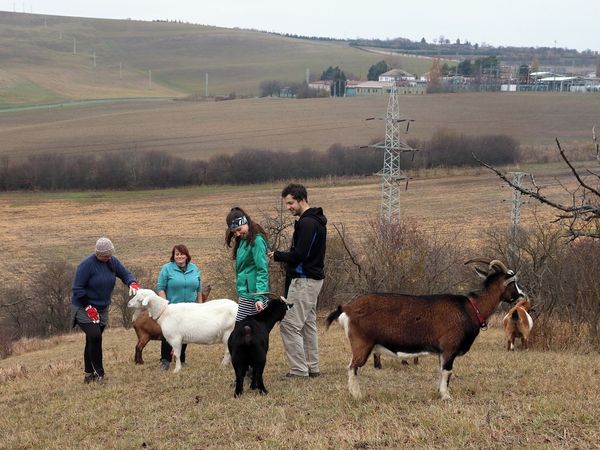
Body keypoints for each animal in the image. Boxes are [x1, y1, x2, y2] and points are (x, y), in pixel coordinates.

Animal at [326, 259, 526, 401]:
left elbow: (441, 371)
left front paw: (440, 392)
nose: (521, 294)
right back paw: (358, 396)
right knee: (353, 368)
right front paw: (446, 396)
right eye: (512, 282)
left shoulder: (442, 352)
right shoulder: (449, 349)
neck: (470, 307)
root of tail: (347, 307)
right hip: (362, 344)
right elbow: (447, 371)